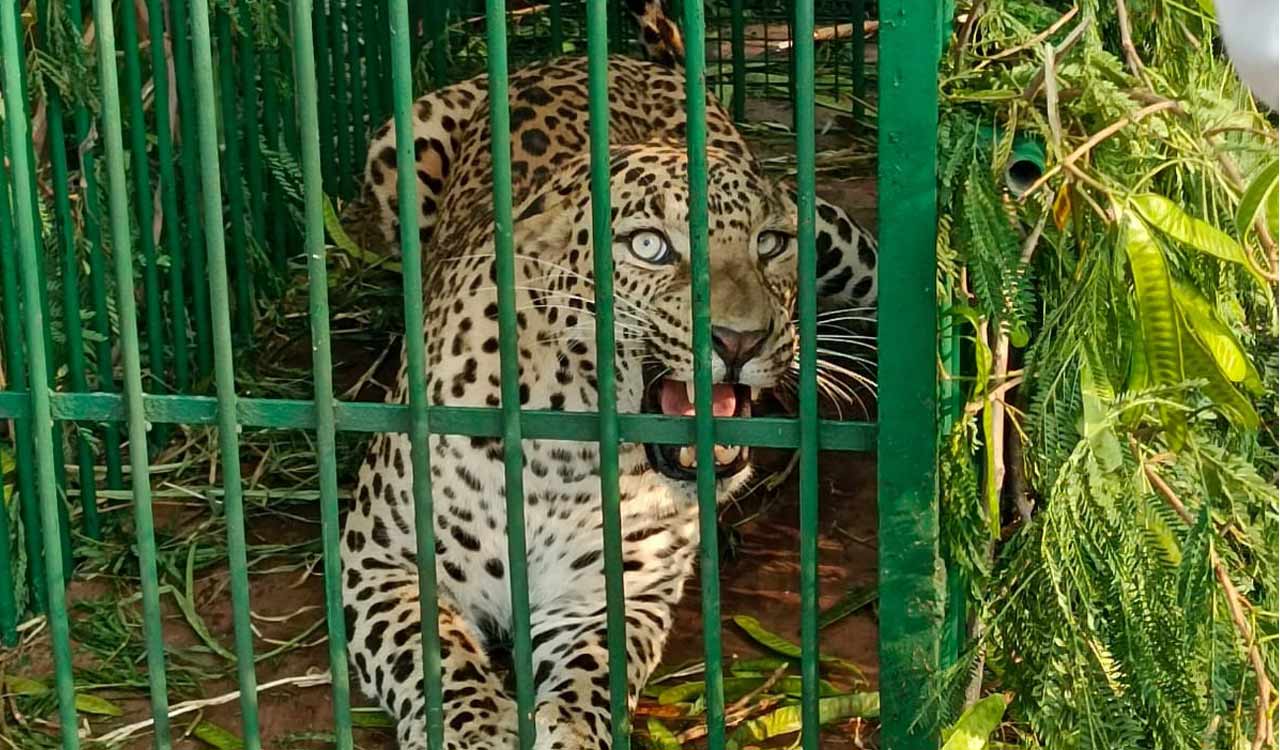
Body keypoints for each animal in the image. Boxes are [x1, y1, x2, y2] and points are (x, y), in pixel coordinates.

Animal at [339, 3, 879, 748]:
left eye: (770, 244)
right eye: (649, 247)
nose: (741, 339)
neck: (564, 454)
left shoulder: (610, 592)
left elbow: (594, 668)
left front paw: (565, 728)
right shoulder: (384, 558)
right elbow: (433, 655)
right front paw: (475, 728)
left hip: (837, 237)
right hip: (398, 138)